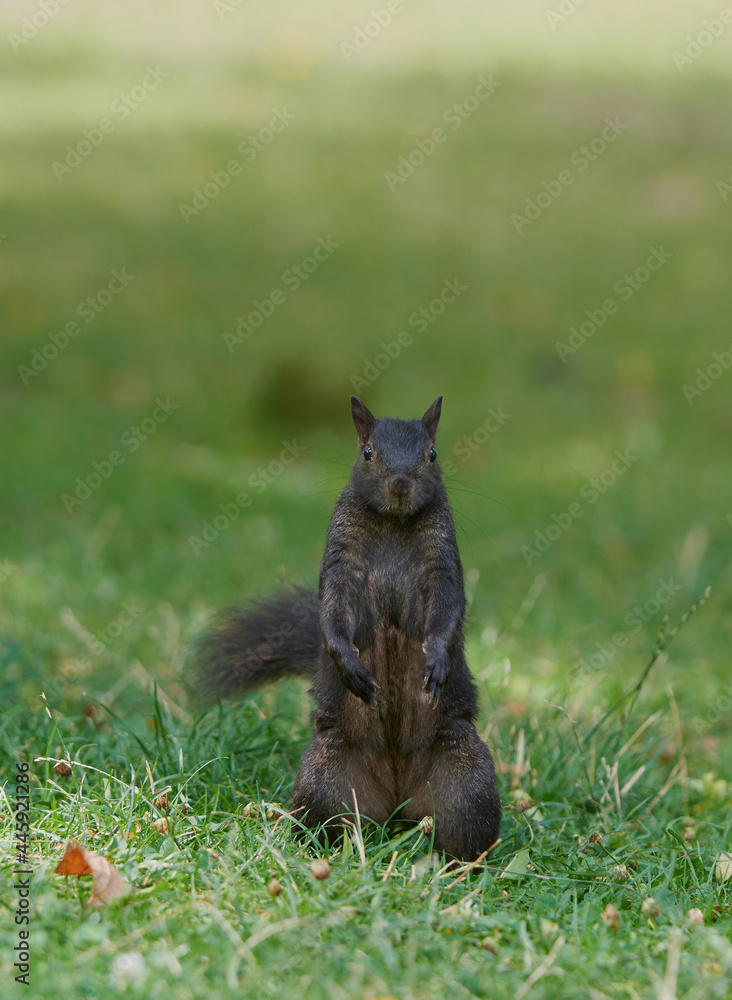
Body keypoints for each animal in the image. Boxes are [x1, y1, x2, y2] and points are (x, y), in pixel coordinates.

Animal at [196, 396, 501, 861]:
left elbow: (447, 610)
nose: (399, 484)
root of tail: (397, 797)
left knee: (464, 825)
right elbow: (334, 611)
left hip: (466, 778)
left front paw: (435, 660)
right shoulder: (342, 560)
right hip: (327, 777)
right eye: (367, 453)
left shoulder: (442, 563)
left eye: (432, 453)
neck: (394, 523)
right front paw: (348, 663)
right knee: (328, 821)